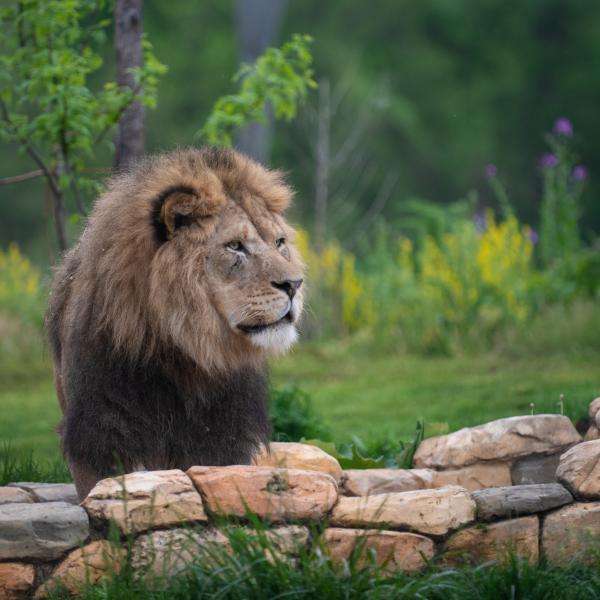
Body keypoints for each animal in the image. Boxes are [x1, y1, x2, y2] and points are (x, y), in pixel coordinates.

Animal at [45, 148, 304, 500]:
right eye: (235, 246)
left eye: (279, 242)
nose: (295, 284)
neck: (181, 352)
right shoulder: (99, 429)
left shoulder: (222, 433)